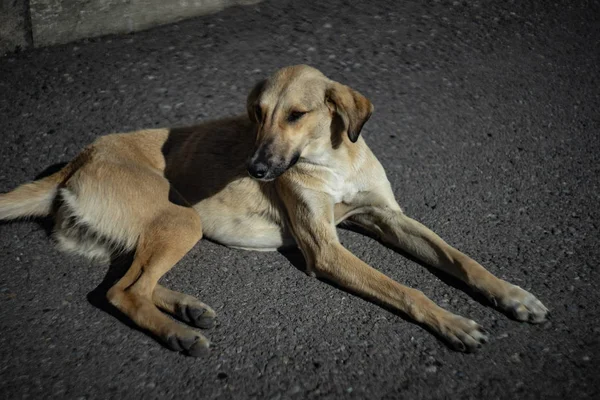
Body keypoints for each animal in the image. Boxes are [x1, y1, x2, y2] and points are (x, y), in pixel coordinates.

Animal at [0, 65, 548, 356]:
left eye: (297, 115)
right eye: (256, 115)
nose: (257, 167)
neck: (332, 159)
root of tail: (79, 158)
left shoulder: (389, 217)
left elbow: (460, 260)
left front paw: (512, 295)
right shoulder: (326, 250)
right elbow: (406, 289)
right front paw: (451, 322)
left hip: (155, 229)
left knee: (128, 281)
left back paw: (186, 308)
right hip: (181, 218)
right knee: (124, 292)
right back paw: (179, 332)